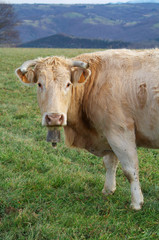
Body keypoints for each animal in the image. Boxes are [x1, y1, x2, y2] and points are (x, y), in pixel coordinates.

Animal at [15, 49, 159, 210]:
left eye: (68, 84)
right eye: (40, 84)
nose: (54, 117)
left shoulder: (120, 132)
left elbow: (130, 170)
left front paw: (136, 203)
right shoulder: (108, 134)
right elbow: (110, 163)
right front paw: (108, 190)